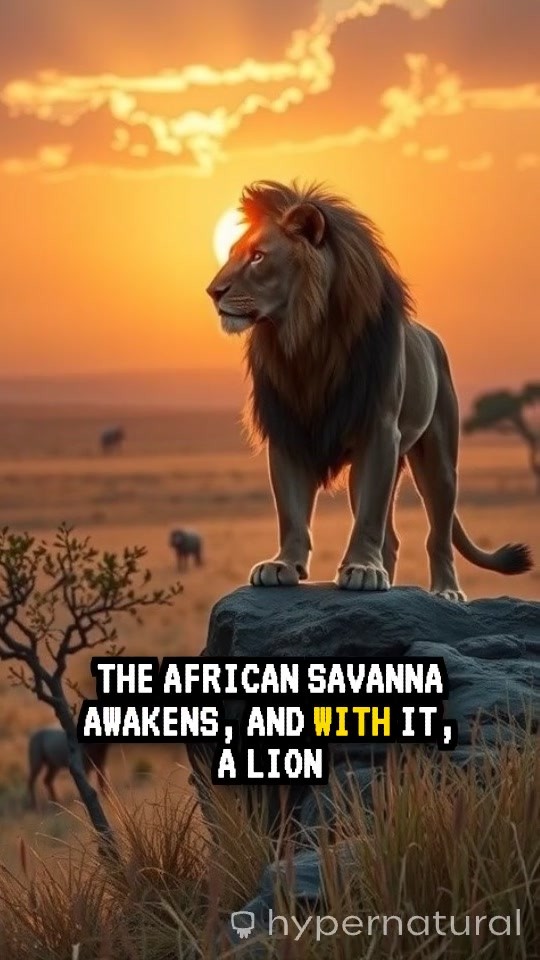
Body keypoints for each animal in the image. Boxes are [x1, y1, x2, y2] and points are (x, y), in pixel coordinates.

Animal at [206, 180, 533, 601]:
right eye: (232, 254)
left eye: (258, 257)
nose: (213, 291)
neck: (307, 340)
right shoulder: (287, 429)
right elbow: (291, 509)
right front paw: (283, 564)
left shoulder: (379, 430)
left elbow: (369, 517)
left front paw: (362, 568)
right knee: (392, 538)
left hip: (439, 459)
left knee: (438, 535)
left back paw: (446, 591)